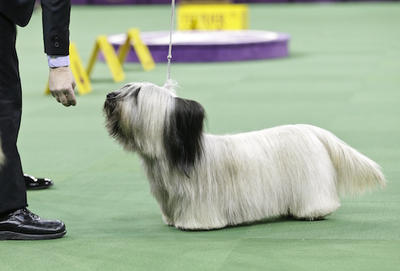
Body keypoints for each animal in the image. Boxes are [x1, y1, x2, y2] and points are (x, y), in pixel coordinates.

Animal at [103, 81, 384, 232]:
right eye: (126, 87)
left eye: (136, 94)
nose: (109, 96)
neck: (174, 153)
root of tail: (313, 131)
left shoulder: (200, 200)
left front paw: (194, 225)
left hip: (310, 182)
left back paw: (314, 212)